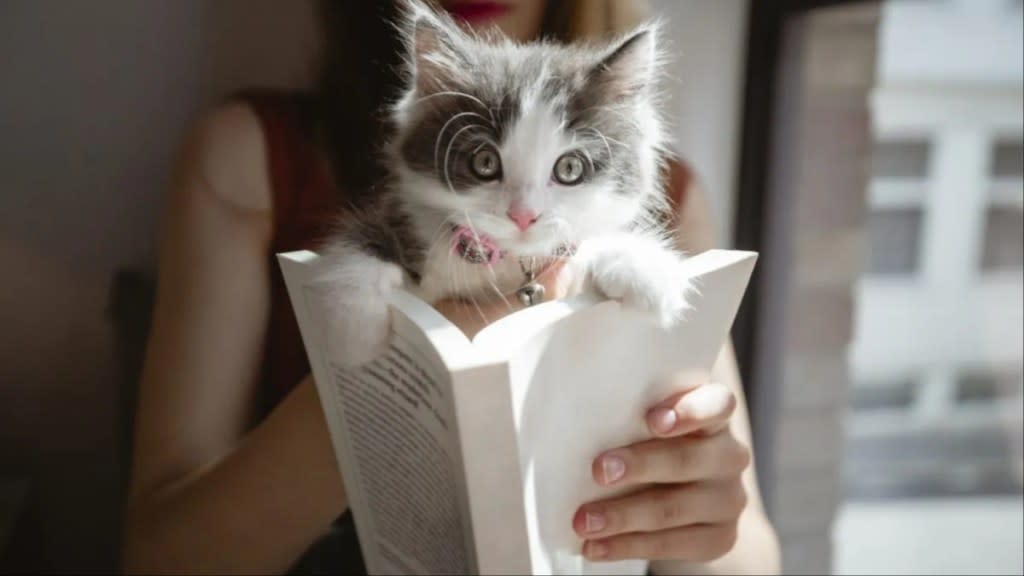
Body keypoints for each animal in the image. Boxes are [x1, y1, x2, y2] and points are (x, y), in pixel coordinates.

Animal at [319, 1, 688, 366]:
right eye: (485, 162)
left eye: (570, 168)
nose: (523, 216)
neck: (510, 264)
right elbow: (362, 243)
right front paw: (351, 324)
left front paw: (643, 266)